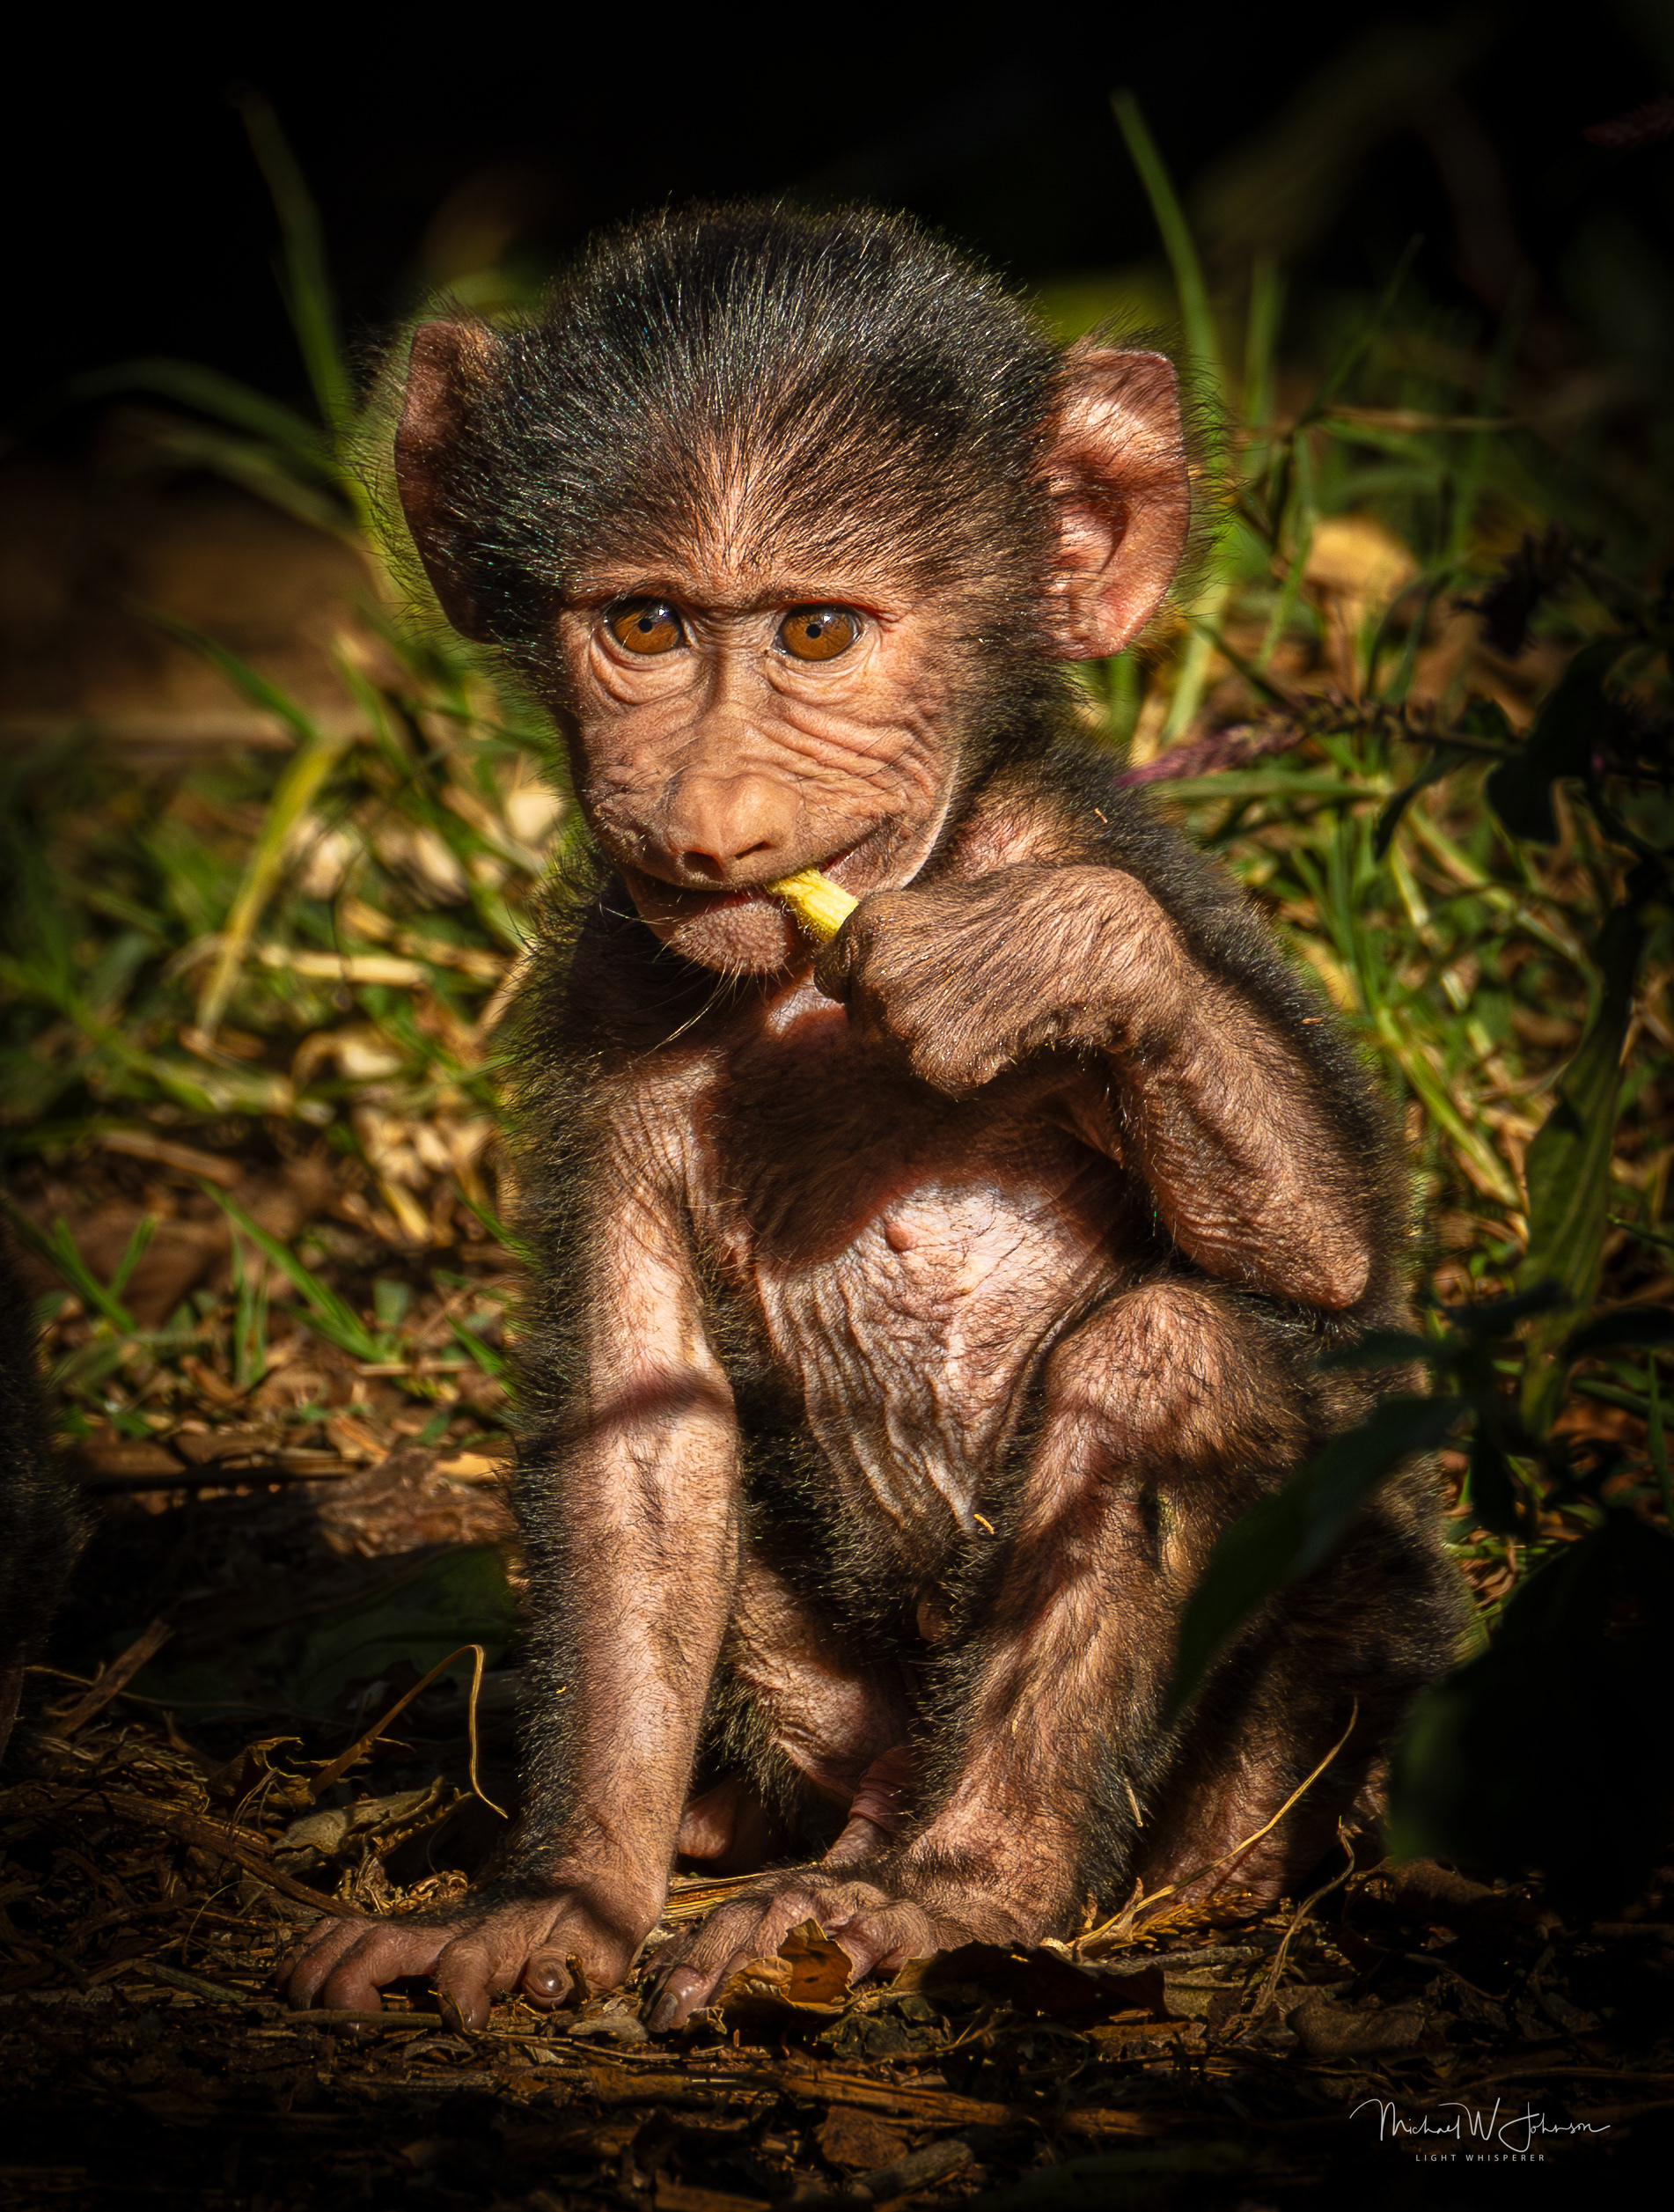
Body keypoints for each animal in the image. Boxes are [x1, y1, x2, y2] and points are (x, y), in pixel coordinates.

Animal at [283, 203, 1466, 2031]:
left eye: (818, 635)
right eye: (646, 626)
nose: (707, 816)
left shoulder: (1098, 843)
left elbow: (1328, 1245)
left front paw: (1041, 957)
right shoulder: (610, 1000)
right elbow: (646, 1428)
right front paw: (559, 1894)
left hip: (1314, 1699)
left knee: (1170, 1358)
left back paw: (965, 1883)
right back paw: (769, 1825)